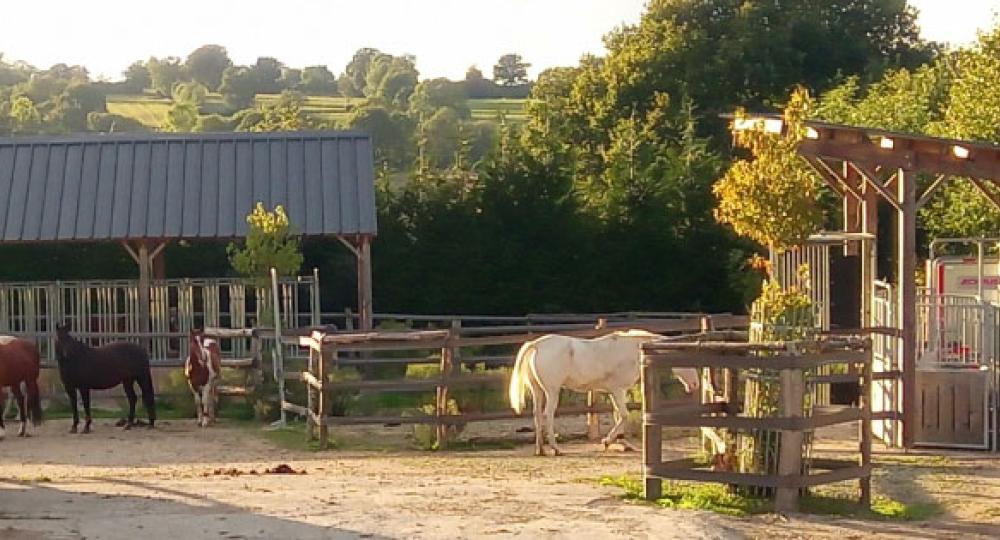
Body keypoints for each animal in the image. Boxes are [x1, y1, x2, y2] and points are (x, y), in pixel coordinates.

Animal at [504, 330, 700, 456]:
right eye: (686, 360)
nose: (695, 385)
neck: (634, 350)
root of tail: (536, 344)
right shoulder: (618, 390)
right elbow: (624, 415)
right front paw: (607, 441)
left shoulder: (614, 392)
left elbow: (617, 415)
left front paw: (622, 444)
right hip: (552, 391)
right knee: (548, 415)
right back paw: (556, 449)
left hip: (537, 390)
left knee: (537, 415)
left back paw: (541, 450)